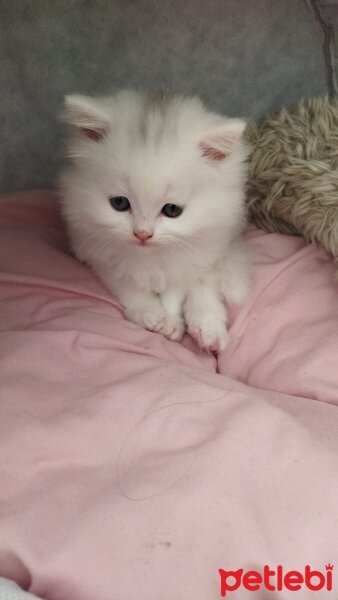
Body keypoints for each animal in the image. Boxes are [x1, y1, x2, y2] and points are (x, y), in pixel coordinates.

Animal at [58, 89, 250, 352]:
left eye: (172, 210)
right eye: (119, 203)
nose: (142, 234)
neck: (150, 257)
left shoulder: (190, 259)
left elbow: (176, 292)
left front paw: (172, 321)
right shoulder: (103, 256)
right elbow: (129, 287)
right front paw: (149, 313)